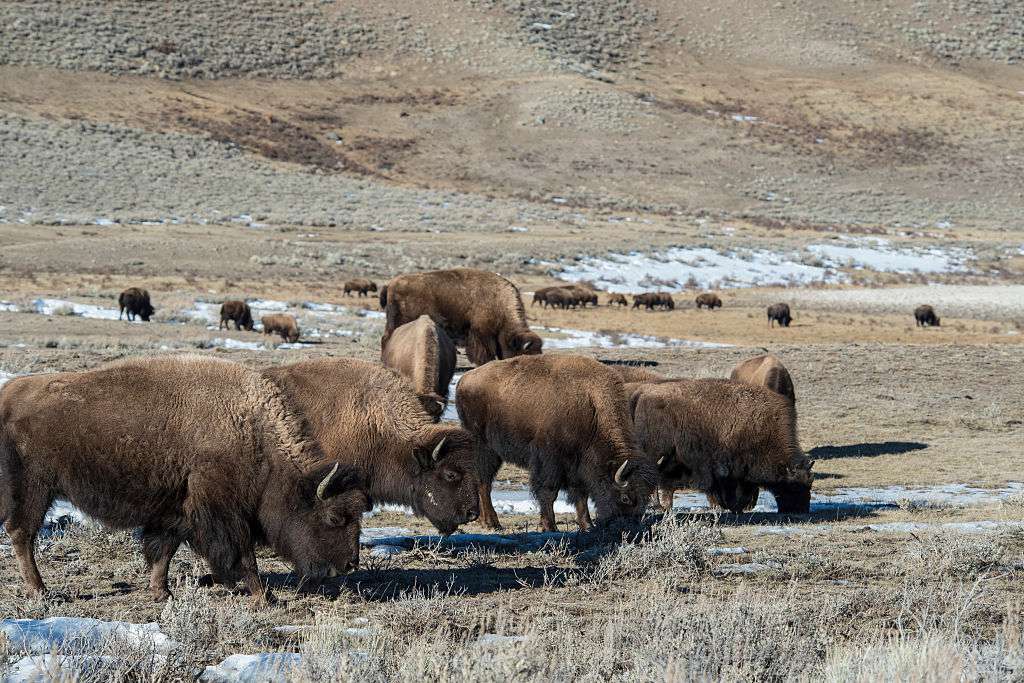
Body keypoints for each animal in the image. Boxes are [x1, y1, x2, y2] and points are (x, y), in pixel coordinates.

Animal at [0, 356, 374, 606]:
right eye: (335, 518)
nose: (348, 565)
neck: (254, 432)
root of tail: (7, 397)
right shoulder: (223, 510)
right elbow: (243, 554)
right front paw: (262, 597)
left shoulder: (176, 508)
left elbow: (163, 550)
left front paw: (161, 592)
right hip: (35, 489)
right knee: (22, 533)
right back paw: (41, 591)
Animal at [456, 356, 655, 532]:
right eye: (625, 498)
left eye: (646, 499)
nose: (627, 527)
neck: (592, 408)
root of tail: (465, 379)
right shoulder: (549, 462)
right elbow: (549, 492)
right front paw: (550, 526)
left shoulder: (578, 467)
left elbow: (581, 496)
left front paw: (587, 526)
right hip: (485, 448)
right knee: (484, 483)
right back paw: (492, 523)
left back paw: (484, 520)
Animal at [626, 376, 811, 516]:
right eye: (795, 485)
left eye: (810, 484)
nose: (801, 509)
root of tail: (643, 392)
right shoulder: (731, 471)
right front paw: (732, 508)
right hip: (656, 455)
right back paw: (658, 506)